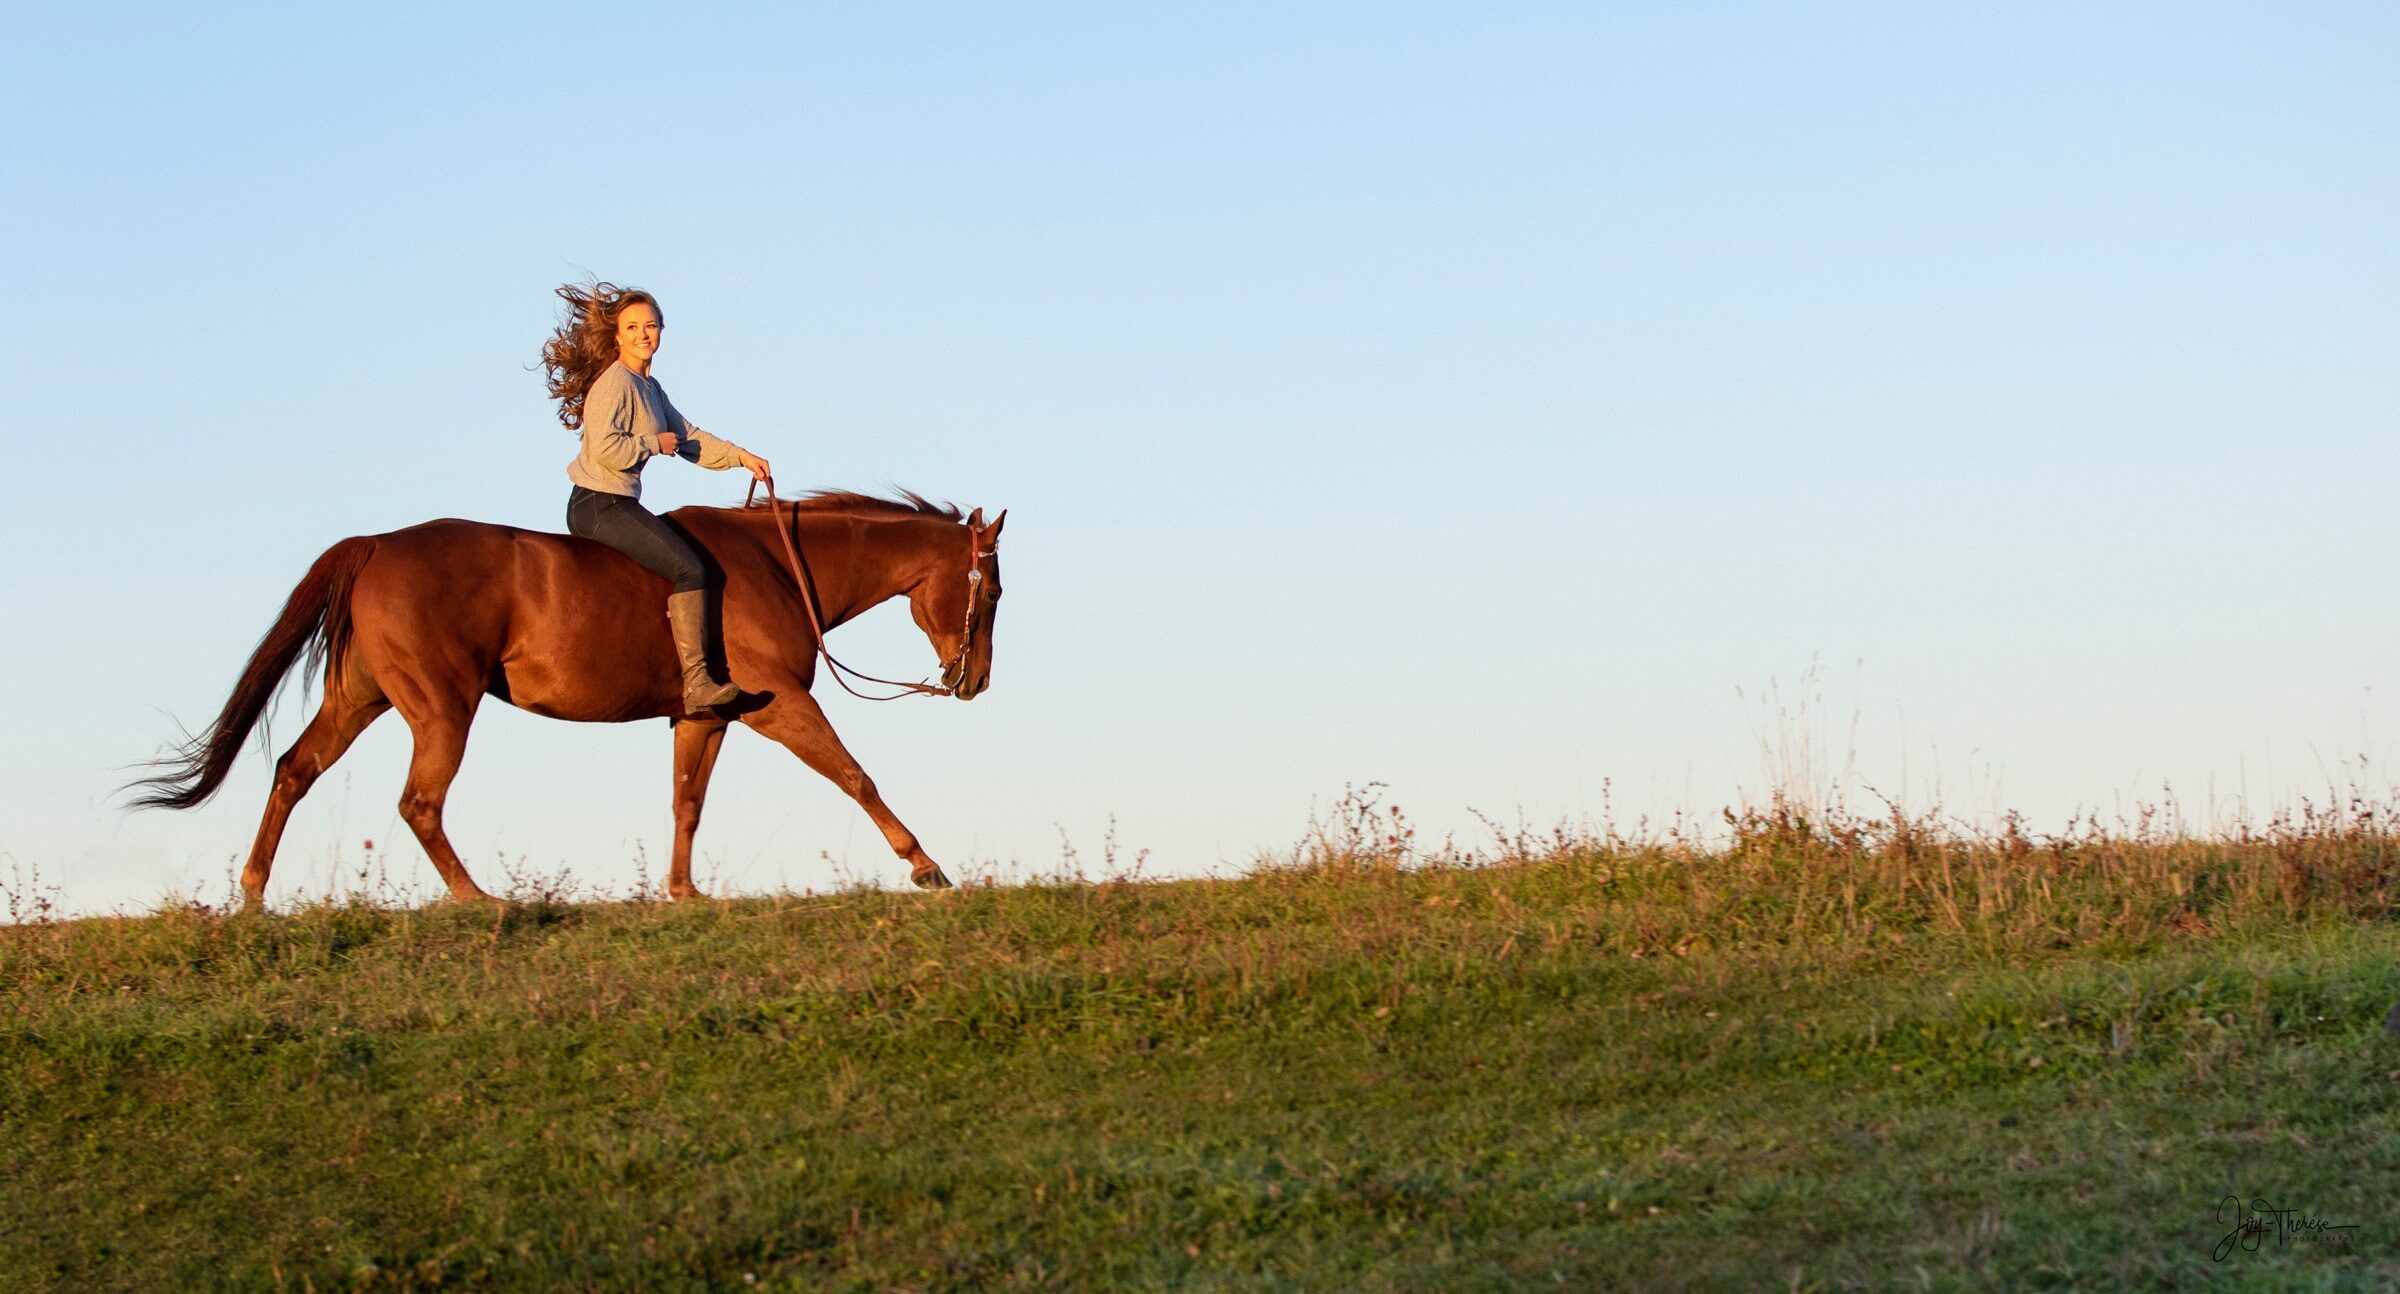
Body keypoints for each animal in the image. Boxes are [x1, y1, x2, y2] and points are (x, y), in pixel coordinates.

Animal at [131, 492, 1003, 907]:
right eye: (991, 591)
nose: (973, 681)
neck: (777, 566)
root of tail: (375, 545)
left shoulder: (704, 716)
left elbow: (687, 804)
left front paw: (682, 892)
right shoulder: (777, 706)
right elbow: (856, 774)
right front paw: (925, 865)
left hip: (361, 700)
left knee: (293, 771)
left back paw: (253, 893)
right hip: (442, 709)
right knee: (419, 803)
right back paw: (476, 898)